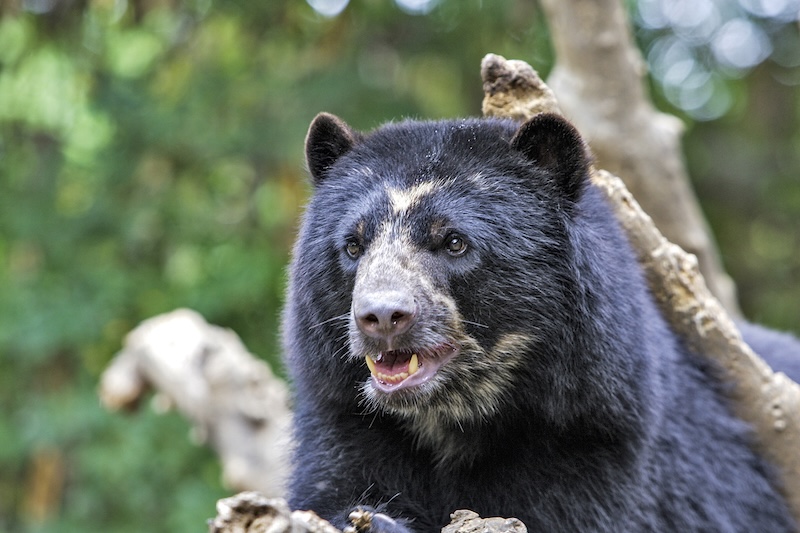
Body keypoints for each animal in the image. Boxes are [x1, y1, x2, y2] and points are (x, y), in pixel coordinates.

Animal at [282, 110, 800, 528]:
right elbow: (329, 493)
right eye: (353, 245)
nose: (382, 316)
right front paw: (372, 518)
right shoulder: (346, 420)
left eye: (454, 242)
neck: (453, 419)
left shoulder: (596, 441)